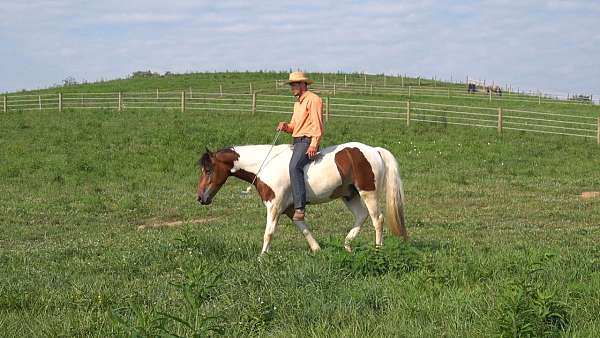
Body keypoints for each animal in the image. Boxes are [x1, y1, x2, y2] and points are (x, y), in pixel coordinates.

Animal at [197, 141, 408, 255]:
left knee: (377, 219)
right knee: (361, 216)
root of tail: (374, 150)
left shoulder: (274, 206)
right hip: (349, 195)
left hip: (367, 192)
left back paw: (377, 249)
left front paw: (262, 257)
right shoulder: (289, 208)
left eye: (208, 170)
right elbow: (303, 228)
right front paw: (317, 249)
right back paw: (347, 245)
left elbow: (269, 232)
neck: (265, 165)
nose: (200, 198)